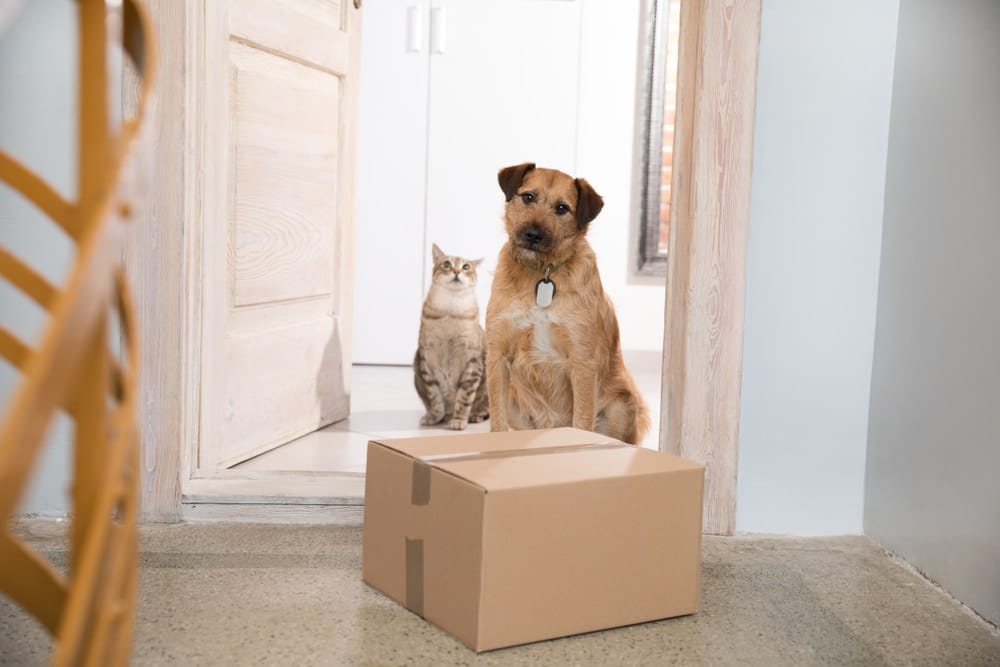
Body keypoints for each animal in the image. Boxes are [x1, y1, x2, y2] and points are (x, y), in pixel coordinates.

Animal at [414, 243, 488, 430]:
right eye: (447, 264)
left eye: (466, 267)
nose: (456, 271)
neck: (450, 311)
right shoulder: (426, 360)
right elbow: (435, 397)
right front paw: (434, 417)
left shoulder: (472, 363)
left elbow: (464, 399)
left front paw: (459, 421)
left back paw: (474, 416)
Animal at [482, 162, 648, 444]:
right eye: (528, 197)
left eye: (562, 208)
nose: (533, 235)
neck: (542, 274)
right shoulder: (498, 354)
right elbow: (497, 421)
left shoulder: (582, 362)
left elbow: (581, 421)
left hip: (621, 405)